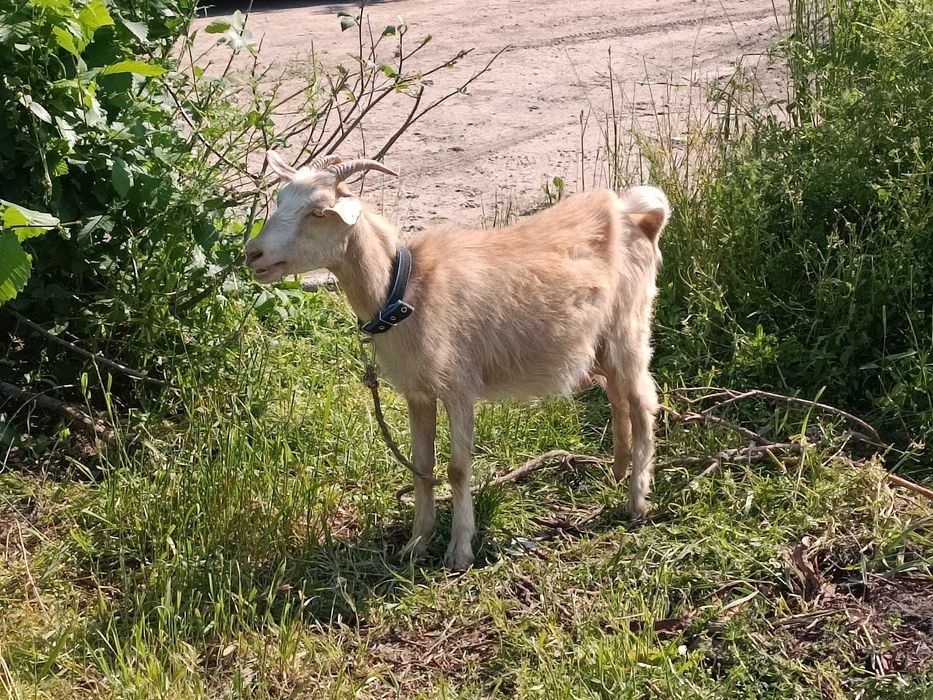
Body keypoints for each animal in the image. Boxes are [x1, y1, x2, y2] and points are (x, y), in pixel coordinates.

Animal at [245, 151, 670, 569]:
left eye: (319, 211)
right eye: (280, 200)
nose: (252, 253)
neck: (404, 290)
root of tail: (642, 218)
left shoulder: (459, 385)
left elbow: (457, 467)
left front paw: (459, 551)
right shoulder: (418, 393)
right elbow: (422, 466)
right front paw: (415, 544)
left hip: (630, 327)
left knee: (643, 402)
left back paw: (636, 501)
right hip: (601, 342)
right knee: (617, 395)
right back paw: (617, 470)